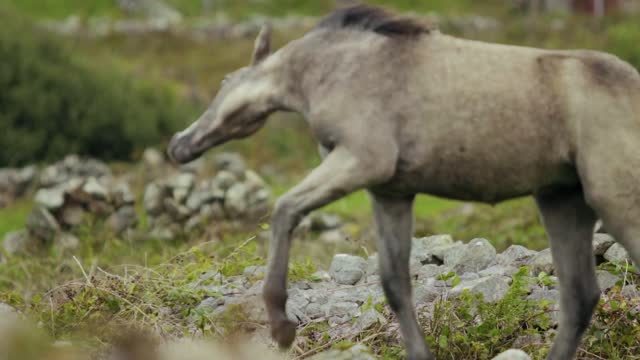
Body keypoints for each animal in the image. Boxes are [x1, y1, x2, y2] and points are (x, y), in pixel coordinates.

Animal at [169, 4, 640, 360]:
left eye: (225, 81)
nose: (178, 144)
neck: (335, 67)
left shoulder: (361, 160)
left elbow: (285, 209)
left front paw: (282, 326)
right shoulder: (390, 192)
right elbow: (395, 283)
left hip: (614, 199)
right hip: (562, 201)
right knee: (579, 297)